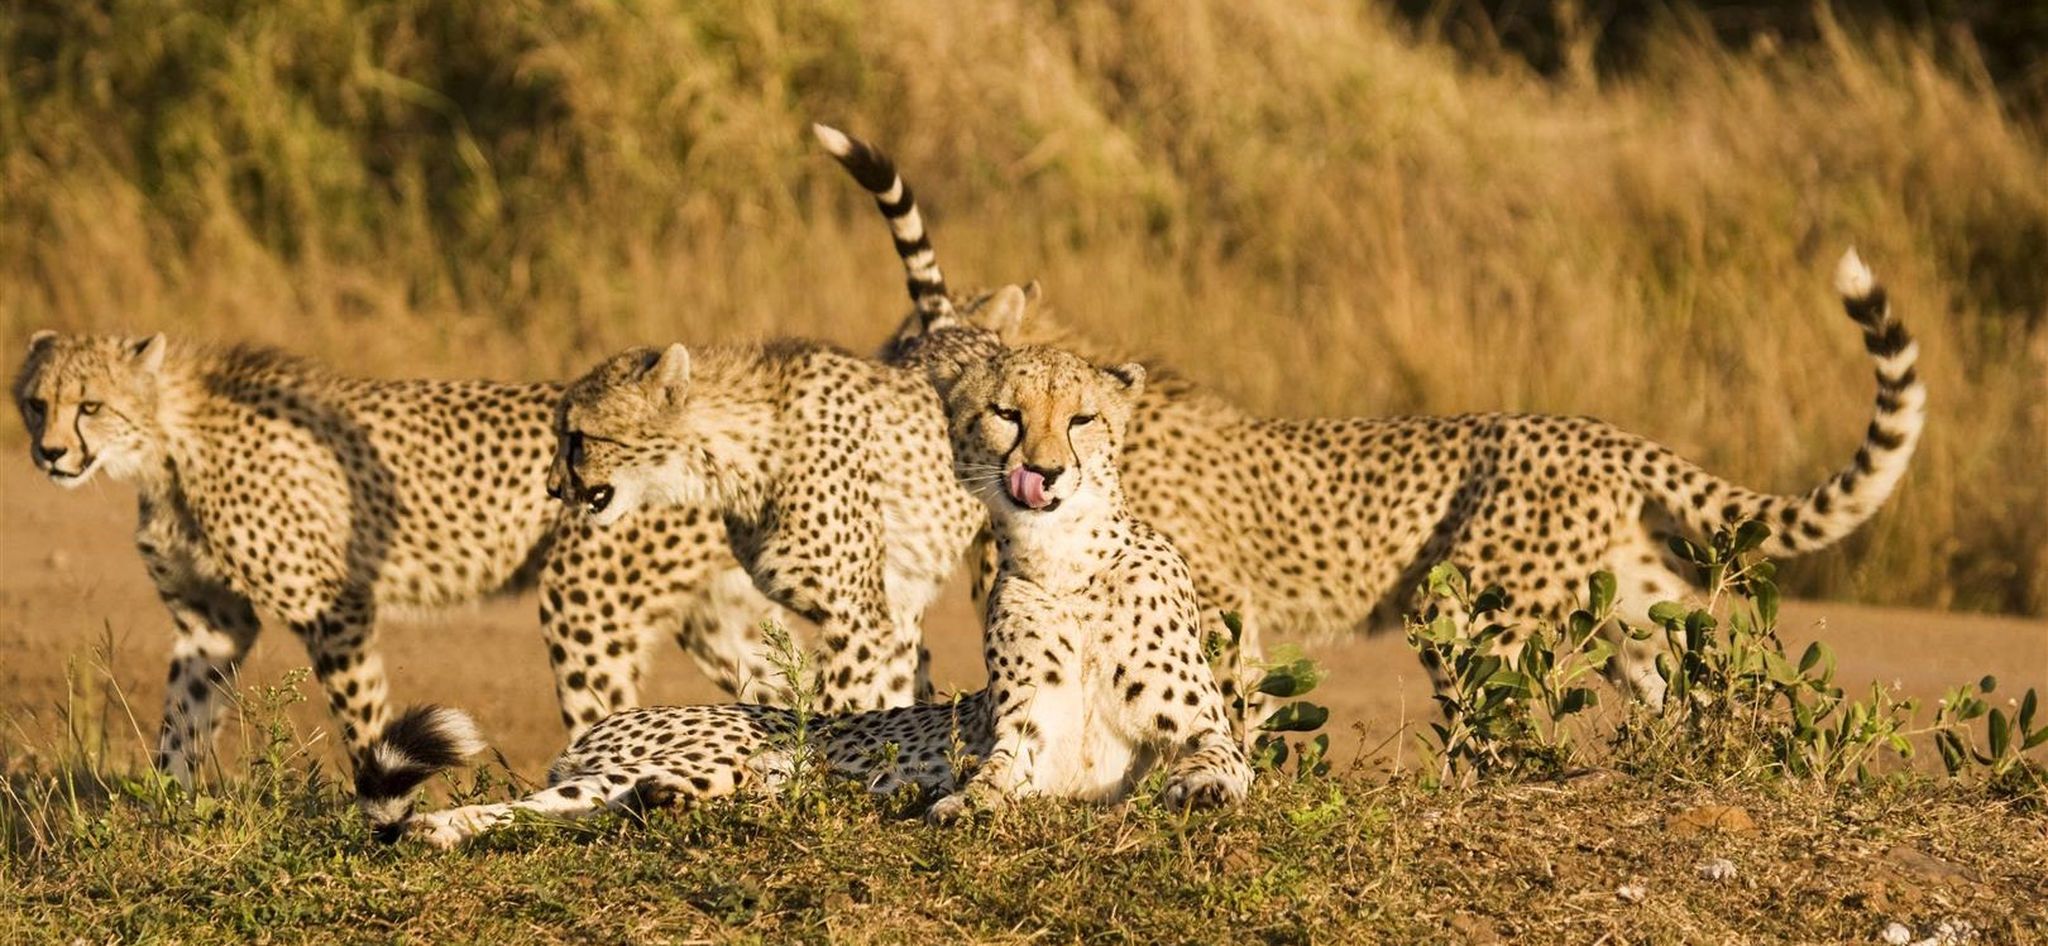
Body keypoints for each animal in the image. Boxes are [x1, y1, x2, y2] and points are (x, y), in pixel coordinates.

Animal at [354, 344, 1247, 847]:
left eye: (1084, 418)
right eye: (1006, 414)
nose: (1046, 471)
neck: (1069, 563)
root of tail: (612, 727)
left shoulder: (1201, 729)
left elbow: (1218, 759)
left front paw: (1199, 789)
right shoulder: (1022, 743)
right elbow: (991, 779)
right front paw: (964, 805)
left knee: (608, 809)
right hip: (694, 755)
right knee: (537, 807)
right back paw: (440, 828)